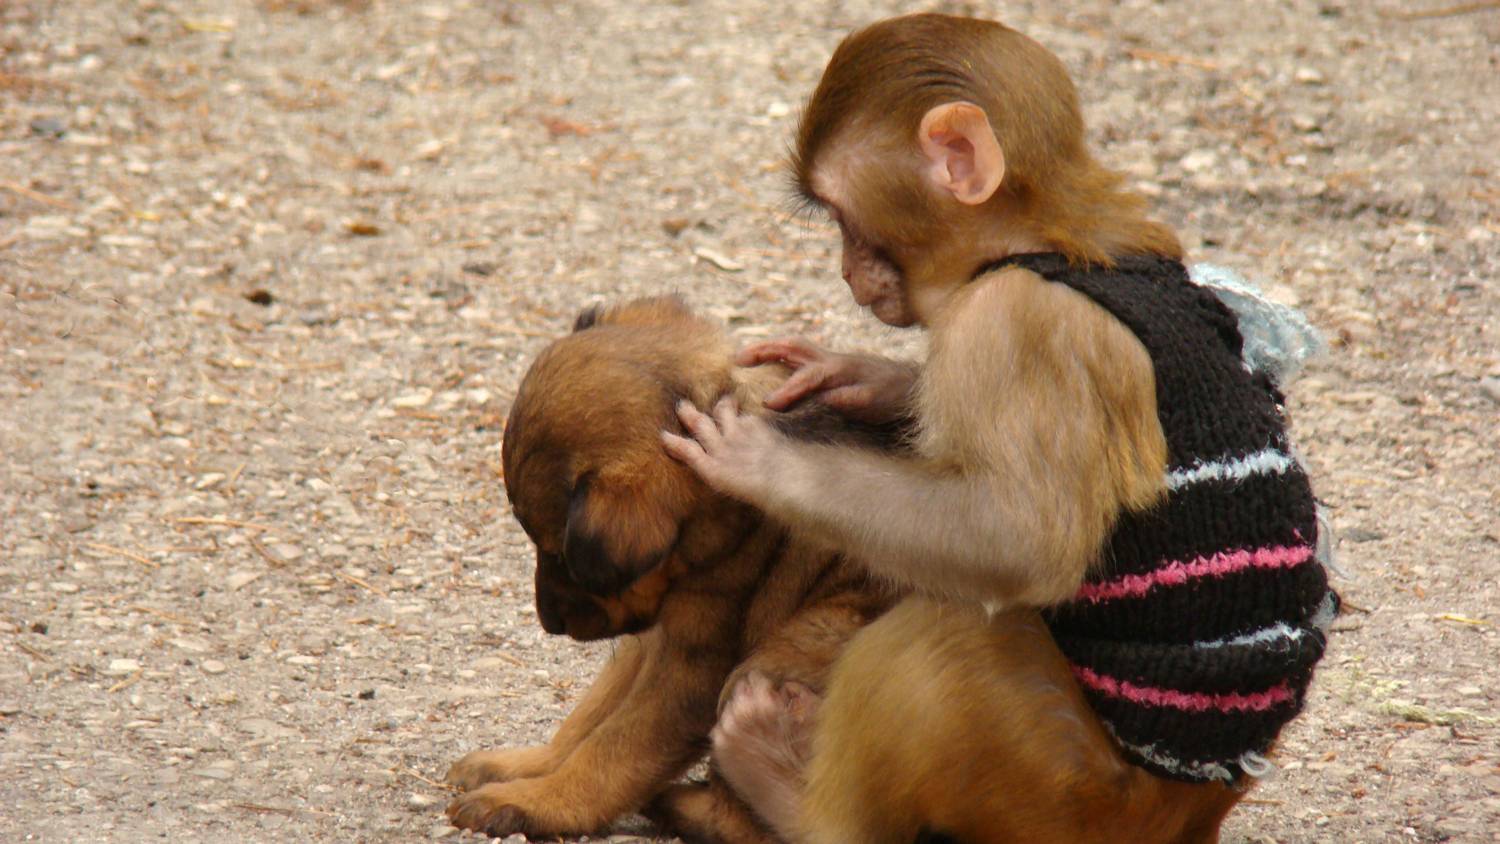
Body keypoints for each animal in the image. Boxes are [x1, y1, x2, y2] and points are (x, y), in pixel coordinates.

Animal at [438, 295, 894, 839]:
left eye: (561, 556)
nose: (549, 625)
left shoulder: (693, 663)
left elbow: (612, 749)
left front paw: (534, 801)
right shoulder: (653, 634)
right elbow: (589, 717)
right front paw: (524, 766)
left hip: (792, 650)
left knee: (749, 824)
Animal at [663, 13, 1332, 844]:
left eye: (844, 217)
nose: (848, 273)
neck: (1035, 240)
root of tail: (1197, 803)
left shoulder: (1014, 325)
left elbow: (1017, 541)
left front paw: (766, 465)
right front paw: (864, 379)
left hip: (1060, 792)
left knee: (942, 638)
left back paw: (789, 791)